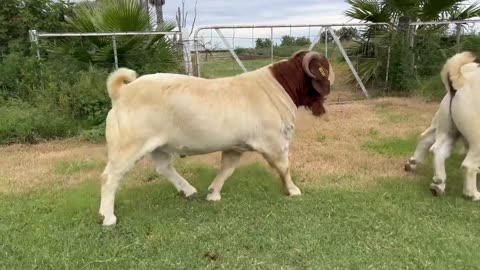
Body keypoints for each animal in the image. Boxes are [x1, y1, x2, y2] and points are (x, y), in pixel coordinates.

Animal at [99, 50, 336, 226]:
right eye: (323, 69)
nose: (331, 85)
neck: (277, 86)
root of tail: (121, 93)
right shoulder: (274, 142)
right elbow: (284, 168)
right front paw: (293, 190)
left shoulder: (235, 145)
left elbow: (227, 169)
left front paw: (213, 193)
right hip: (129, 144)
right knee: (110, 177)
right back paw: (108, 217)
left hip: (159, 145)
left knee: (163, 167)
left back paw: (189, 191)